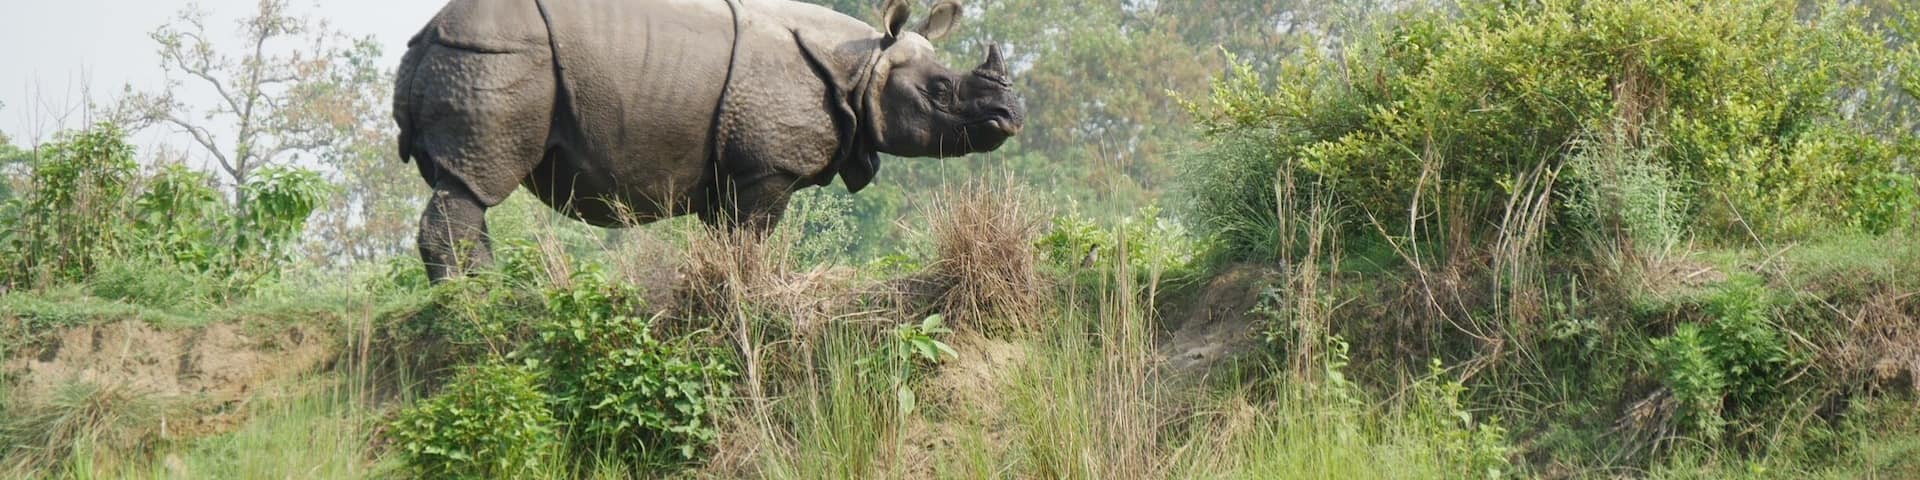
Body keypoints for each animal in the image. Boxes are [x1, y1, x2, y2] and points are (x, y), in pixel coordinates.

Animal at [393, 0, 1023, 280]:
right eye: (940, 91)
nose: (1010, 115)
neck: (863, 64)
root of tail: (424, 36)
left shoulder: (730, 170)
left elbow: (727, 237)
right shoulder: (767, 169)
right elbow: (753, 238)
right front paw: (752, 288)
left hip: (474, 55)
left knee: (462, 186)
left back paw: (485, 291)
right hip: (492, 57)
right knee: (475, 180)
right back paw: (475, 300)